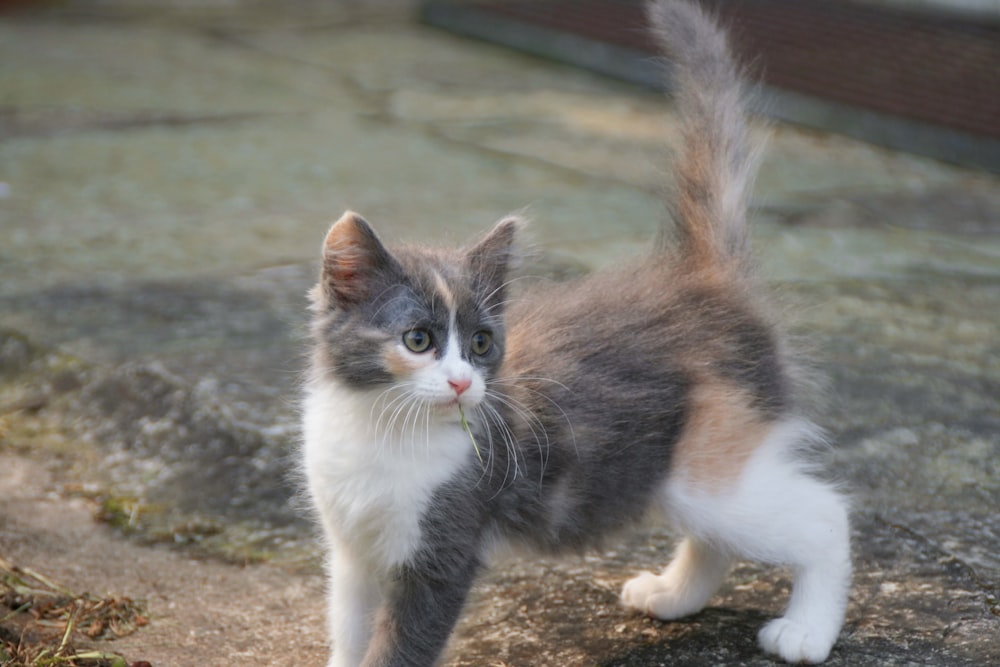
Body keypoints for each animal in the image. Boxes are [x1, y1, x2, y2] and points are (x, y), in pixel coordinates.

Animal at [298, 2, 852, 664]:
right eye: (418, 340)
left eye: (481, 344)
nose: (461, 384)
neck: (381, 426)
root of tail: (706, 277)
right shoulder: (351, 555)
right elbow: (349, 633)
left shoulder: (442, 553)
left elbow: (398, 647)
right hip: (673, 470)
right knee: (718, 533)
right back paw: (673, 594)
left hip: (712, 468)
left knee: (825, 514)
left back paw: (806, 631)